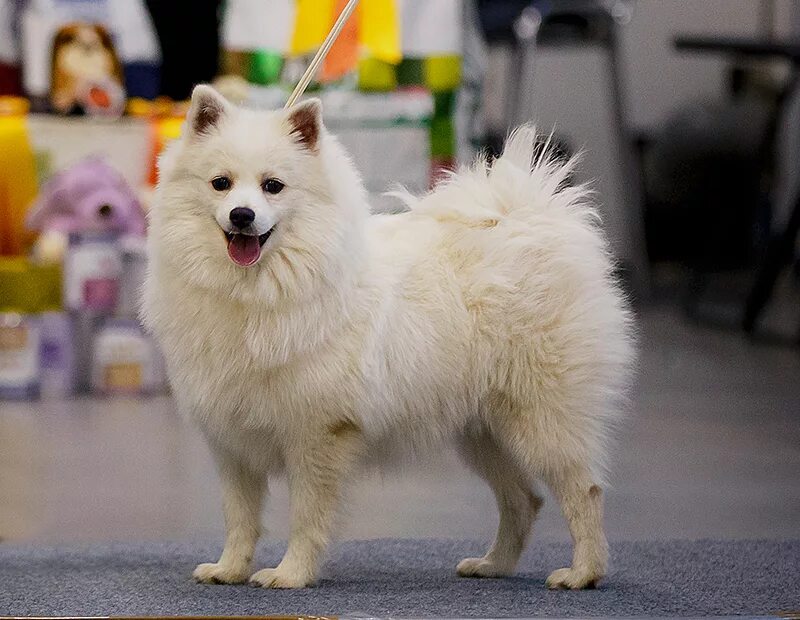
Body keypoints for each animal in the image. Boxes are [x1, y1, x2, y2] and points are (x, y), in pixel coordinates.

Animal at [141, 86, 636, 592]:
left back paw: (583, 573)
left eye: (272, 186)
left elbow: (306, 518)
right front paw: (229, 569)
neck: (258, 290)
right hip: (483, 432)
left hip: (541, 421)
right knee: (523, 498)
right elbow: (239, 517)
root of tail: (528, 220)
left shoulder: (317, 435)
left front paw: (291, 574)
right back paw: (493, 564)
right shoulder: (232, 442)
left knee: (584, 490)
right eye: (220, 183)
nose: (242, 215)